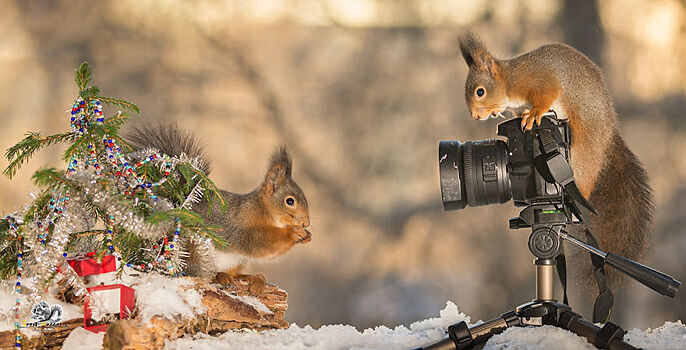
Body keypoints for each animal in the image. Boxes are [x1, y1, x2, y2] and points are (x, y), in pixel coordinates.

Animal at [127, 123, 314, 296]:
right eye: (290, 201)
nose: (306, 223)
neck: (264, 210)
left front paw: (306, 236)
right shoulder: (243, 225)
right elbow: (259, 243)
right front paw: (293, 233)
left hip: (237, 261)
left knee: (235, 273)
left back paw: (253, 278)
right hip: (194, 250)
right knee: (199, 272)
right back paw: (221, 276)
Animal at [456, 31, 656, 292]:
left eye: (480, 92)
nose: (476, 116)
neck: (510, 82)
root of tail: (609, 134)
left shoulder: (538, 80)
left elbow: (545, 96)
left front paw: (534, 114)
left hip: (584, 145)